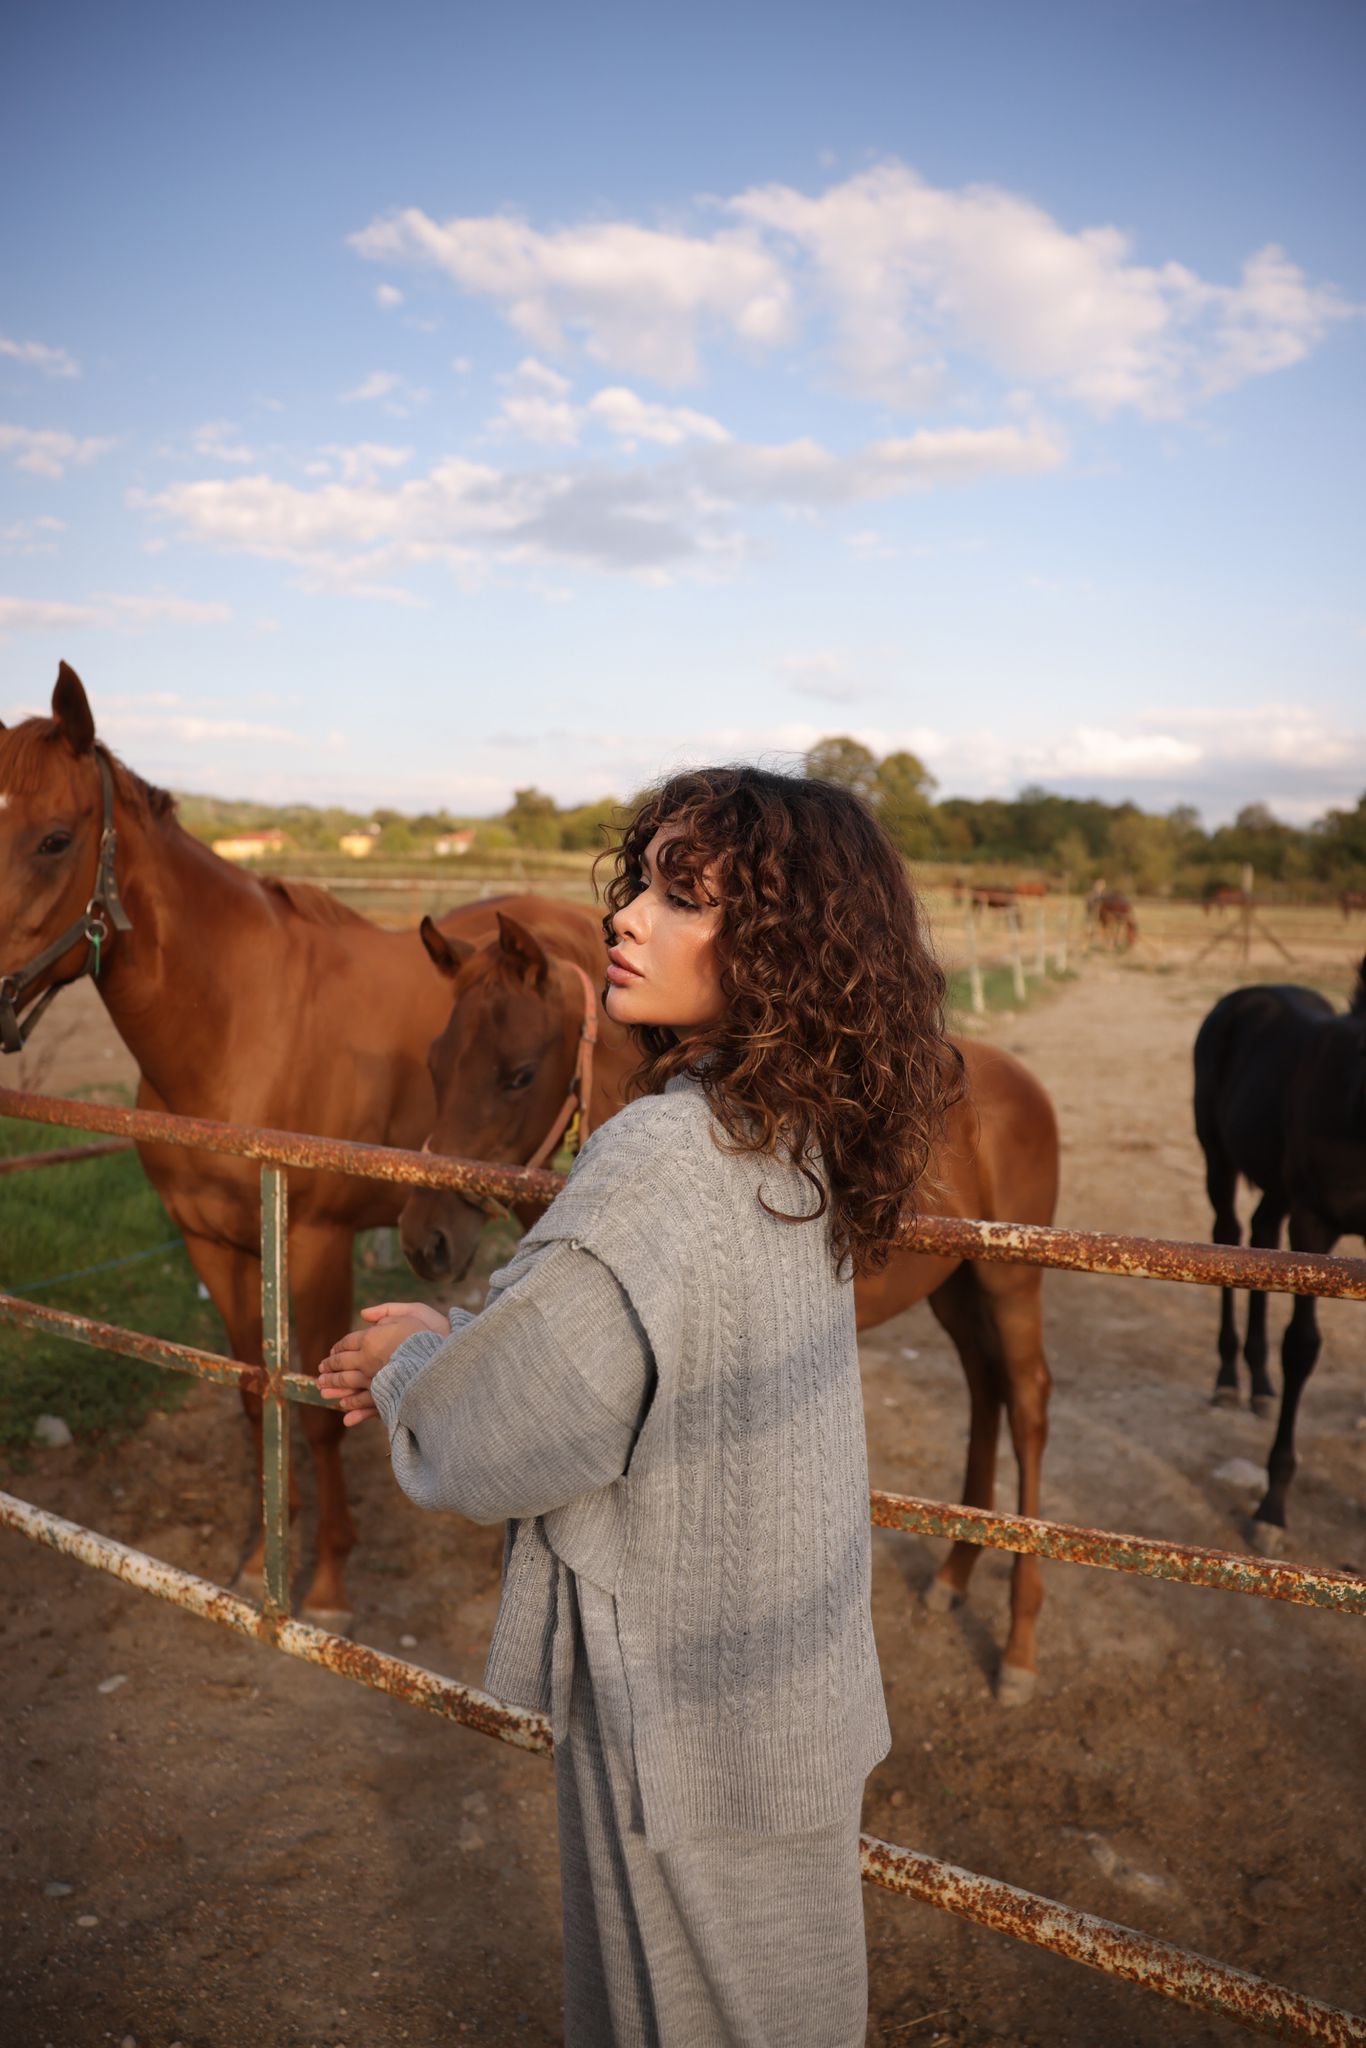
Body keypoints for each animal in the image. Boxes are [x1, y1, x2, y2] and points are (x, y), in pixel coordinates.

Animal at [0, 671, 602, 1630]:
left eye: (54, 840)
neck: (242, 1025)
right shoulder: (213, 1242)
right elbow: (255, 1393)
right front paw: (257, 1557)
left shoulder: (313, 1242)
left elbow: (315, 1408)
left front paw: (325, 1586)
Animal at [401, 913, 1064, 1695]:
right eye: (435, 1064)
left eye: (519, 1074)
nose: (425, 1240)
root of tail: (1023, 1083)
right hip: (955, 1290)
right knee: (985, 1390)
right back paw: (956, 1574)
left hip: (1009, 1284)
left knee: (1026, 1402)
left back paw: (1021, 1648)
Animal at [1187, 958, 1359, 1548]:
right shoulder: (1314, 1224)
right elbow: (1302, 1346)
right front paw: (1271, 1508)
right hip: (1218, 1157)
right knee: (1229, 1233)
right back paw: (1227, 1379)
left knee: (1262, 1242)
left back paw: (1260, 1383)